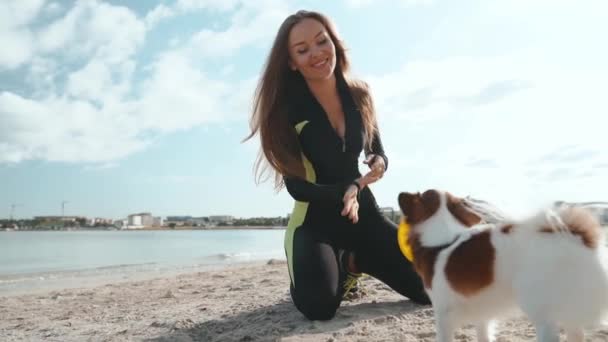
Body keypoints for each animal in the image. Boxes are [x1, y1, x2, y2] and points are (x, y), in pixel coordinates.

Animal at [396, 190, 608, 342]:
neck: (443, 241)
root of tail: (576, 236)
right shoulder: (482, 316)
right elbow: (483, 336)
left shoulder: (442, 314)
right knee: (576, 334)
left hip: (538, 304)